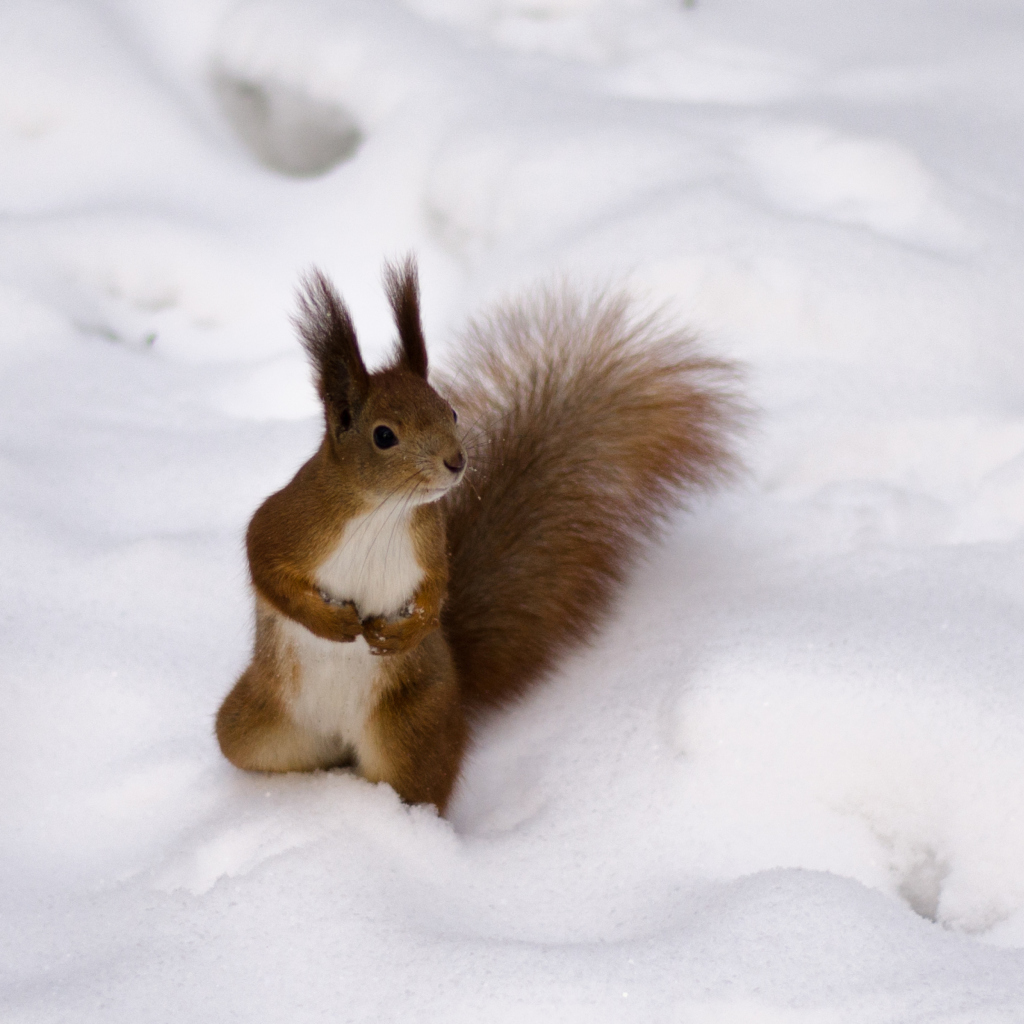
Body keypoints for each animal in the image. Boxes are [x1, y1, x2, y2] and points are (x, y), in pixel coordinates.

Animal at [216, 258, 745, 815]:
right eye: (384, 435)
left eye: (449, 411)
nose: (456, 461)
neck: (382, 511)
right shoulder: (290, 521)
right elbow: (264, 564)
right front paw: (329, 622)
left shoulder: (429, 543)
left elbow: (437, 590)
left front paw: (404, 631)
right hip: (252, 725)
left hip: (411, 731)